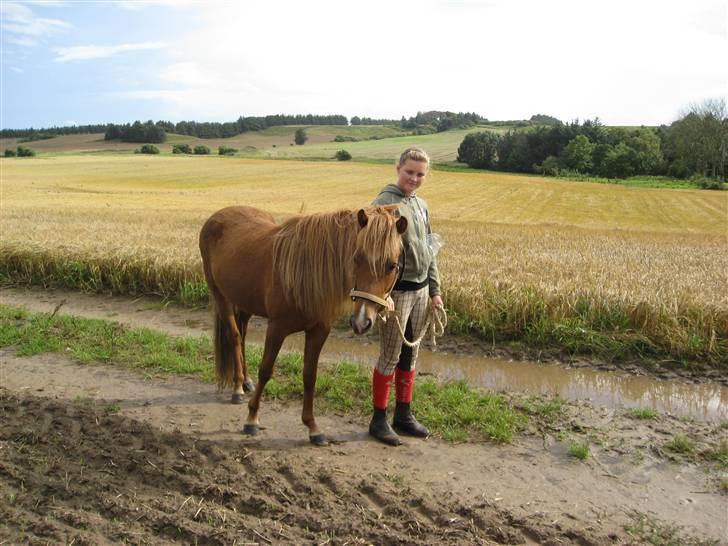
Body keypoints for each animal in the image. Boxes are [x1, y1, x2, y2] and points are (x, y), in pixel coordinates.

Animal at [198, 203, 410, 442]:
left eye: (392, 265)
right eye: (356, 258)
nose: (361, 322)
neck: (304, 271)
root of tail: (217, 216)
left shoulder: (319, 331)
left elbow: (310, 375)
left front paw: (313, 427)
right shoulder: (277, 328)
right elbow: (266, 370)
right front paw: (252, 419)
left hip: (245, 300)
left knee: (241, 333)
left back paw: (246, 381)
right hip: (220, 294)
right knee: (234, 336)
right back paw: (237, 388)